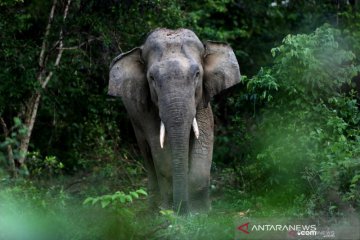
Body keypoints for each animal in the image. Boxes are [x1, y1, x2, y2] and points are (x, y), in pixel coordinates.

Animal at [108, 28, 240, 214]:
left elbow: (203, 142)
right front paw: (170, 212)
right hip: (134, 119)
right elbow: (161, 152)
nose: (182, 211)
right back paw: (154, 208)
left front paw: (200, 211)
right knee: (147, 154)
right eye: (152, 78)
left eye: (197, 74)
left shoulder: (202, 102)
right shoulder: (147, 110)